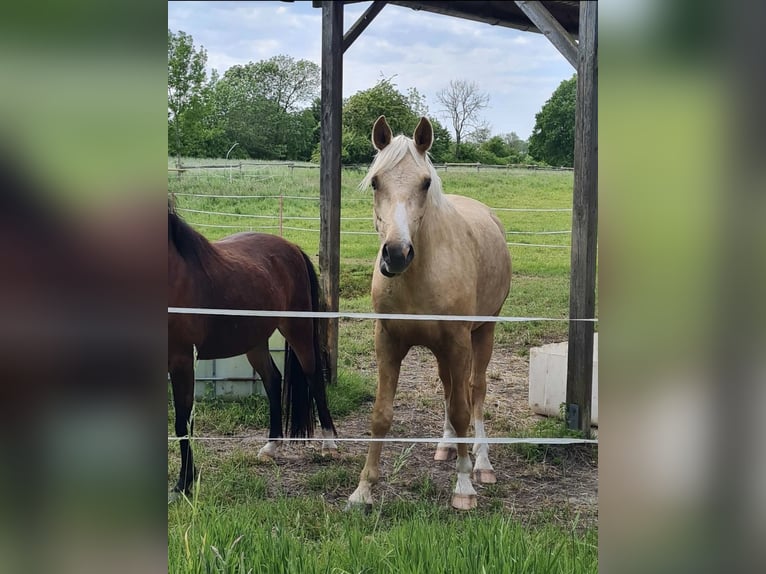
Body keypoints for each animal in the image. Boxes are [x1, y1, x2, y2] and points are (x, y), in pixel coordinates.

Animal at [168, 209, 336, 498]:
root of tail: (292, 247)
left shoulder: (182, 361)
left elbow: (182, 422)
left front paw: (184, 484)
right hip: (255, 342)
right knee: (273, 380)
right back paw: (271, 446)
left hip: (298, 329)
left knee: (313, 377)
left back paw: (329, 444)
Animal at [348, 117, 510, 512]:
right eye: (375, 181)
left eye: (425, 183)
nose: (396, 254)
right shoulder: (388, 343)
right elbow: (381, 414)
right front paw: (364, 489)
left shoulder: (458, 342)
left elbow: (463, 409)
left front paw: (464, 487)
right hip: (442, 352)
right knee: (450, 389)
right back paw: (446, 446)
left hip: (483, 333)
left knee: (475, 391)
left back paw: (482, 463)